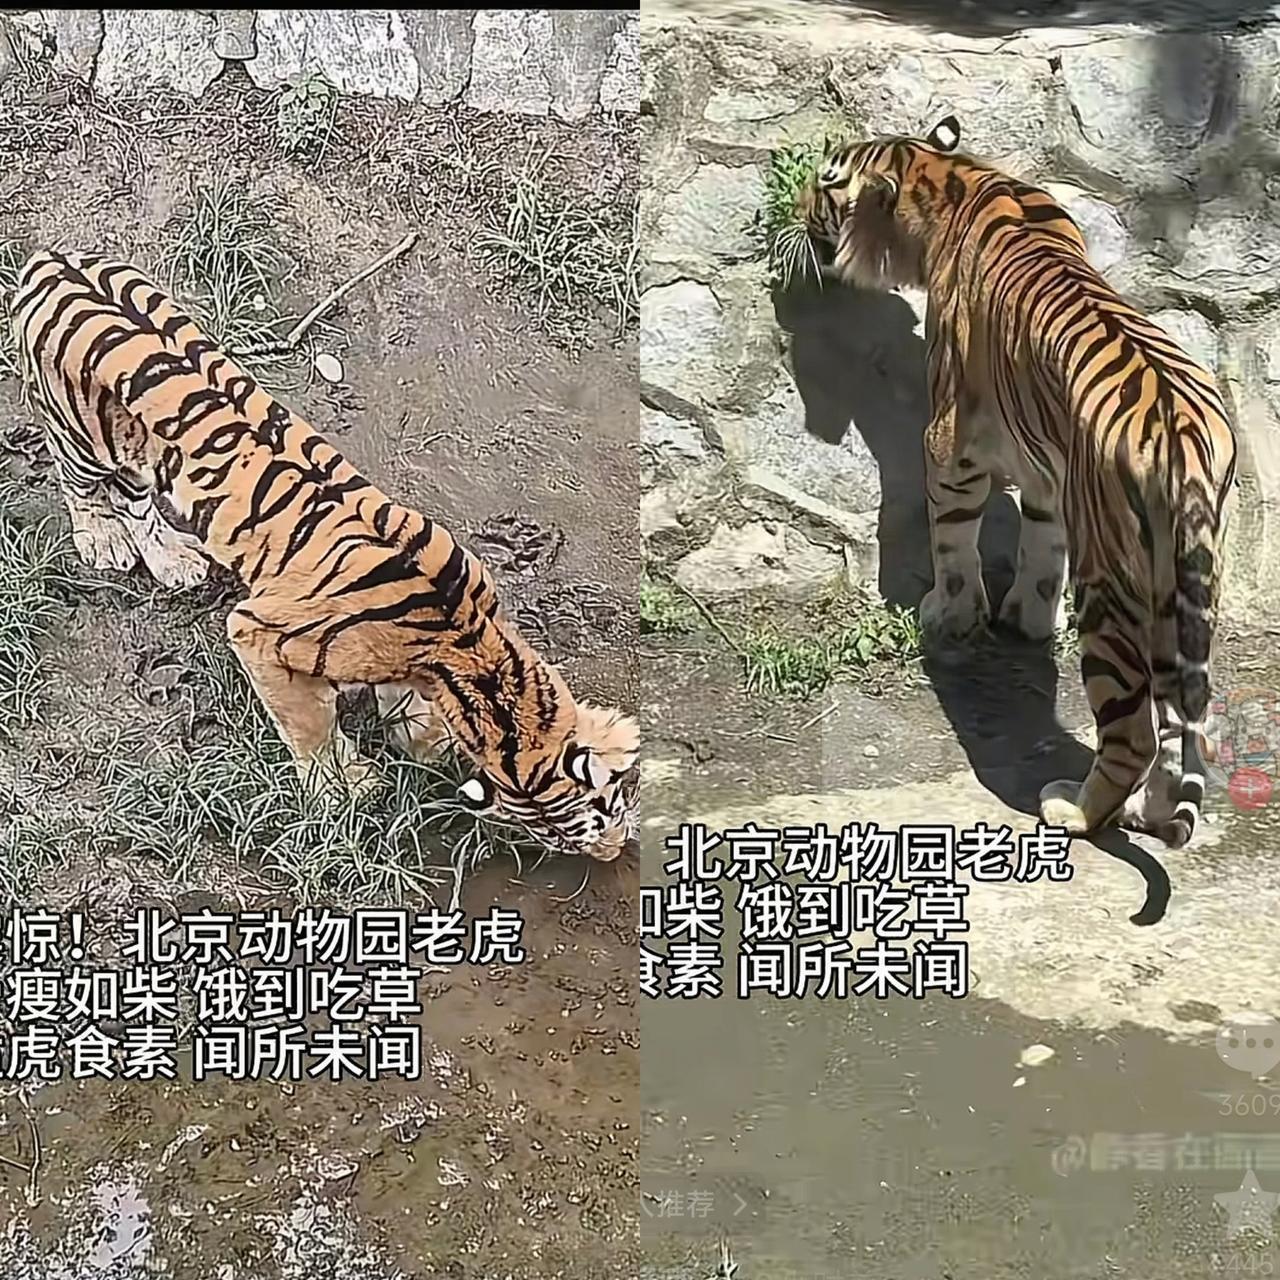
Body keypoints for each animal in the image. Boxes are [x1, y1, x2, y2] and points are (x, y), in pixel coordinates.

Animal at [11, 249, 640, 861]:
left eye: (610, 807)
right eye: (574, 834)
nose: (614, 854)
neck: (466, 643)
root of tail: (50, 260)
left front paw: (420, 737)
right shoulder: (258, 633)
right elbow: (309, 722)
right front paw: (346, 784)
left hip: (141, 450)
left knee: (137, 498)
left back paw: (174, 560)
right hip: (84, 439)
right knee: (86, 486)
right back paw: (103, 540)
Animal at [794, 115, 1238, 850]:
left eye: (825, 182)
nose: (797, 208)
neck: (951, 178)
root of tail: (1184, 435)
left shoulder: (950, 440)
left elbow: (952, 539)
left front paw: (949, 614)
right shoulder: (1051, 467)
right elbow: (1039, 544)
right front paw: (1028, 617)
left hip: (1114, 593)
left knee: (1134, 734)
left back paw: (1077, 811)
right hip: (1181, 586)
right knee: (1179, 724)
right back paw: (1143, 813)